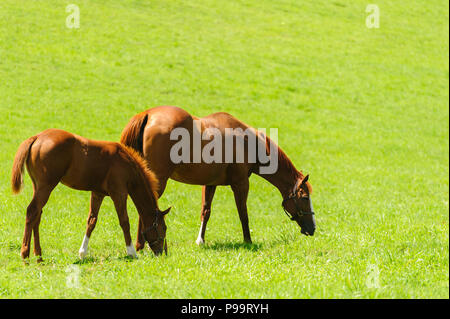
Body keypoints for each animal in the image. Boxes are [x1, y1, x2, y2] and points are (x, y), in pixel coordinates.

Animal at [11, 129, 171, 262]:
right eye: (163, 228)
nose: (163, 253)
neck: (126, 163)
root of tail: (37, 137)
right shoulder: (119, 193)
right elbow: (124, 221)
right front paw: (132, 252)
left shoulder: (97, 194)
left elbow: (92, 221)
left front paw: (82, 253)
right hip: (46, 186)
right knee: (32, 211)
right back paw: (25, 254)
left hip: (37, 187)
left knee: (37, 215)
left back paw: (39, 255)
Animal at [121, 105, 314, 250]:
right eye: (305, 198)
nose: (313, 228)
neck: (247, 141)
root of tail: (147, 114)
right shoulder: (241, 183)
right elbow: (243, 213)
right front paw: (248, 240)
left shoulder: (210, 184)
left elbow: (206, 212)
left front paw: (200, 240)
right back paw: (142, 245)